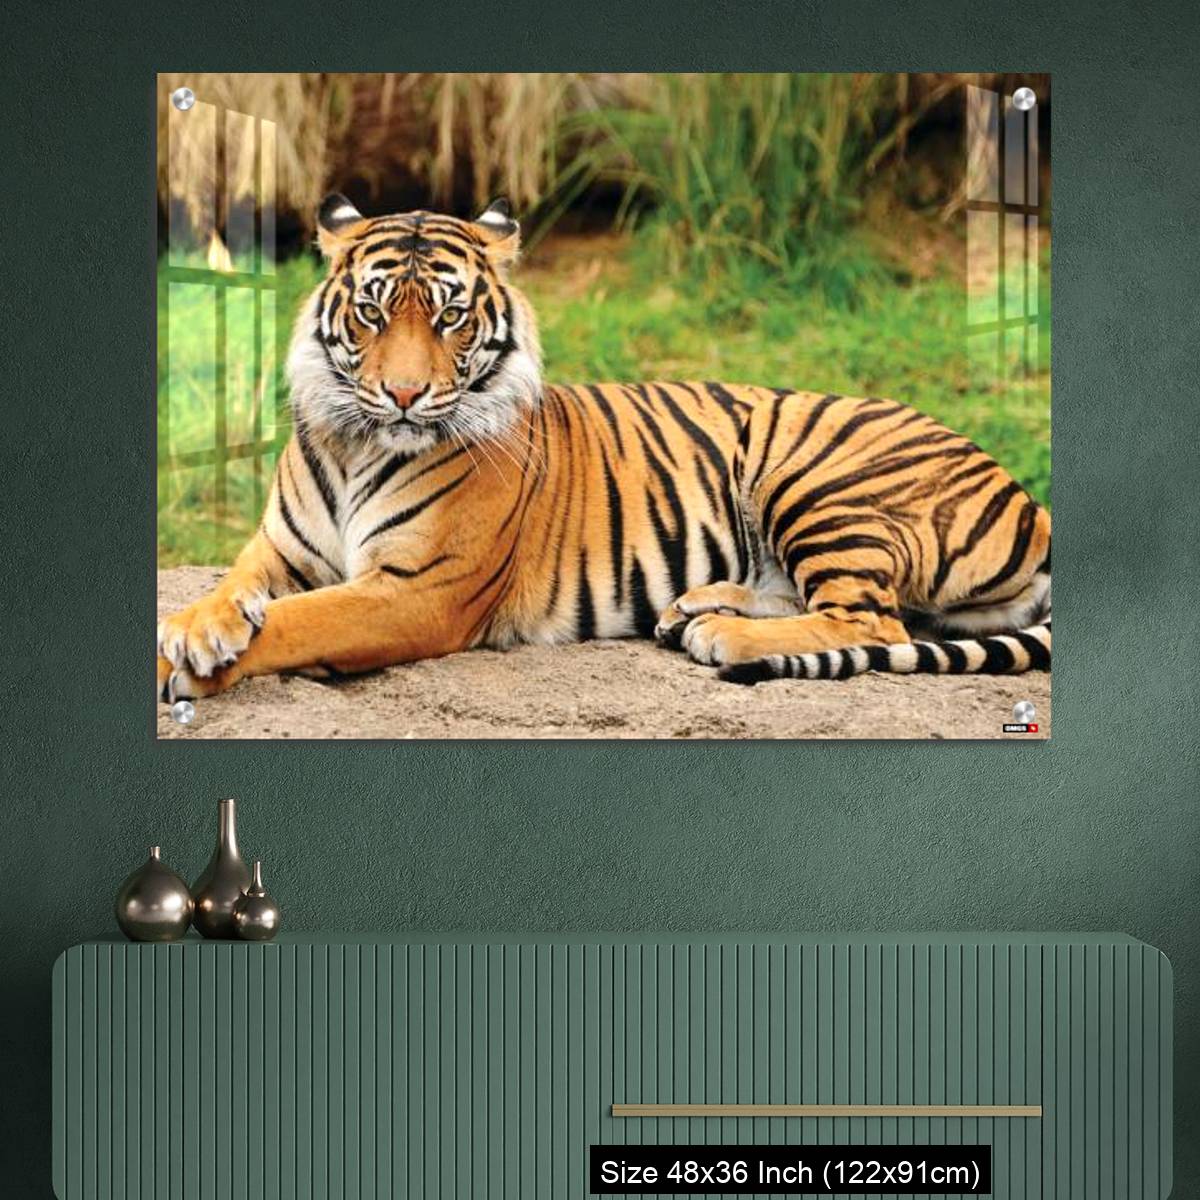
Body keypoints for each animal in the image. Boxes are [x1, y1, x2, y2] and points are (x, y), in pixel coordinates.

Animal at [157, 194, 1050, 703]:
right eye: (373, 312)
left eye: (450, 316)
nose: (405, 395)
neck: (354, 444)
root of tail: (1032, 504)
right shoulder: (279, 549)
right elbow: (237, 589)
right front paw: (197, 627)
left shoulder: (416, 590)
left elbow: (298, 622)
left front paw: (188, 664)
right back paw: (696, 608)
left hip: (816, 479)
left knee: (871, 617)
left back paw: (723, 635)